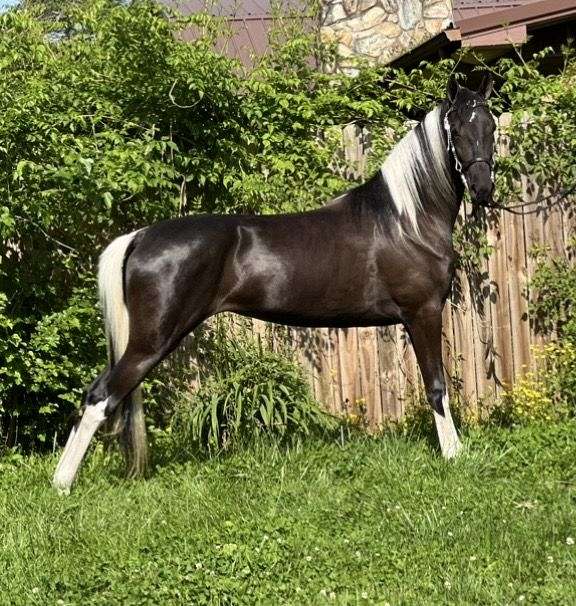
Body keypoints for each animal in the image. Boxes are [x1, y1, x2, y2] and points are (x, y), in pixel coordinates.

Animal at [54, 76, 496, 494]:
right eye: (456, 129)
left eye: (491, 125)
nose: (483, 189)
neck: (406, 221)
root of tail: (140, 236)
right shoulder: (423, 312)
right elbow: (436, 385)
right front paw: (454, 454)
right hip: (152, 340)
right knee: (99, 396)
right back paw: (61, 485)